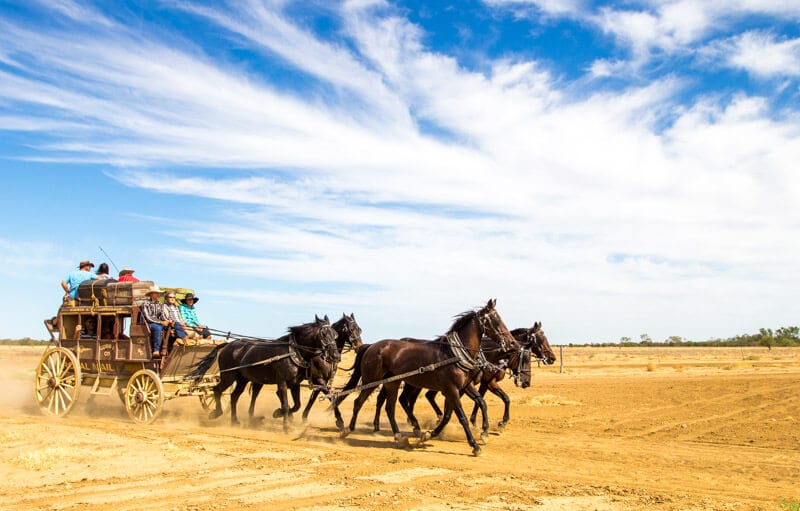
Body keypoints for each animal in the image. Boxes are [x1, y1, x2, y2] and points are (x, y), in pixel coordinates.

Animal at [187, 316, 334, 432]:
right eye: (324, 334)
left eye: (334, 334)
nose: (334, 355)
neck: (292, 352)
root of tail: (228, 345)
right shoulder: (282, 383)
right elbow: (286, 405)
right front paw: (285, 425)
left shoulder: (294, 384)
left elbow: (297, 405)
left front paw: (278, 413)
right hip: (228, 376)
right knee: (217, 390)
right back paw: (216, 413)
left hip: (242, 379)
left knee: (234, 397)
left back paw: (234, 421)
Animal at [336, 300, 512, 456]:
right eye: (496, 321)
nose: (511, 342)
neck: (454, 354)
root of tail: (371, 346)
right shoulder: (451, 389)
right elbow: (460, 416)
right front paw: (475, 445)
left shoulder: (464, 386)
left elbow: (473, 406)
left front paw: (483, 433)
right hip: (372, 380)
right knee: (359, 402)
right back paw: (347, 430)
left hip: (392, 383)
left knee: (389, 408)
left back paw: (399, 437)